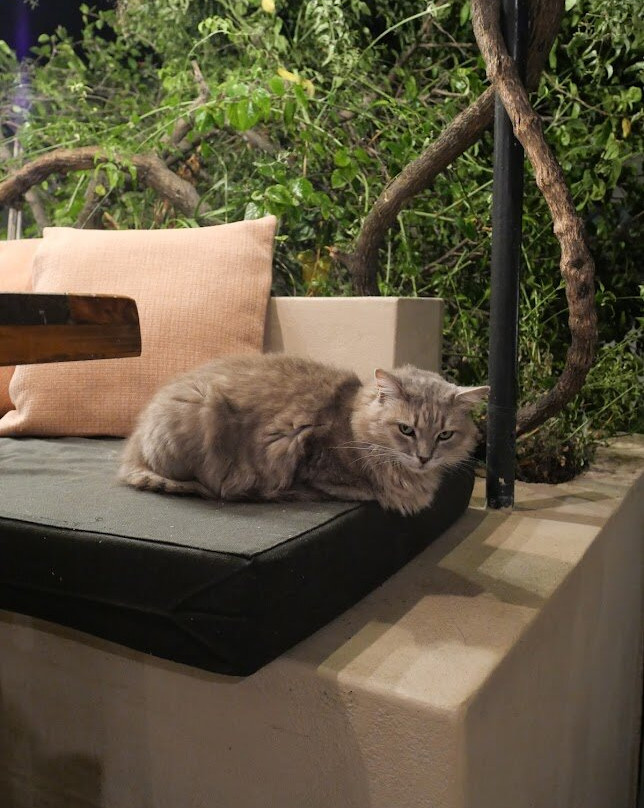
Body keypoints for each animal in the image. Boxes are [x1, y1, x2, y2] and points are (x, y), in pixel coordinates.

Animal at [118, 354, 488, 516]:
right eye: (406, 430)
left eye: (445, 435)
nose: (424, 457)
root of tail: (130, 452)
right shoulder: (311, 460)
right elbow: (357, 489)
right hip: (199, 410)